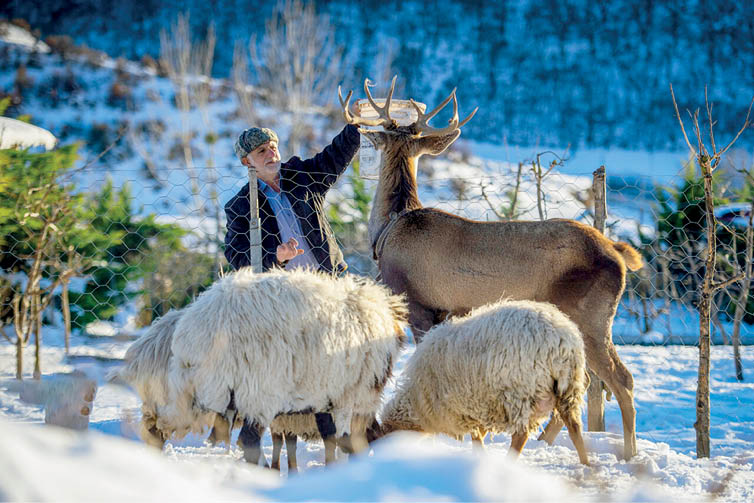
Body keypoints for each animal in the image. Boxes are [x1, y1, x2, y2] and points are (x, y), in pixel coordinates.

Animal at [156, 270, 408, 466]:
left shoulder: (323, 392)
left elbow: (329, 437)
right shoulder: (345, 394)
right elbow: (345, 440)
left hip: (217, 395)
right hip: (258, 391)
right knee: (248, 441)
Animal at [382, 300, 588, 468]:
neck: (417, 402)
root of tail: (560, 341)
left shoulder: (466, 406)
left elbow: (476, 436)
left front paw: (479, 454)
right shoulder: (481, 405)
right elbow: (478, 433)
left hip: (520, 393)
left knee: (520, 436)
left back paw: (508, 463)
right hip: (569, 389)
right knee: (574, 427)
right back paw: (586, 463)